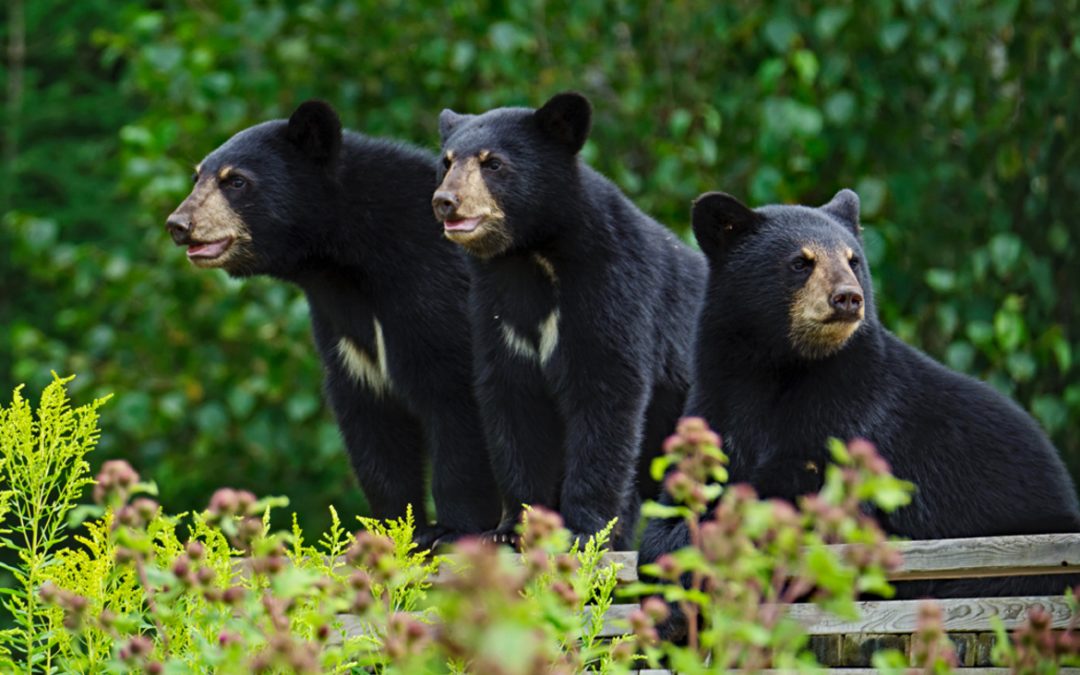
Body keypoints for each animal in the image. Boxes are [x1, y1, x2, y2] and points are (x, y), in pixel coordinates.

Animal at [165, 100, 501, 547]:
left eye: (235, 181)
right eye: (196, 176)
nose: (178, 225)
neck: (343, 262)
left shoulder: (437, 291)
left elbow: (456, 401)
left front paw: (450, 530)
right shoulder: (343, 325)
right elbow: (371, 424)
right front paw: (394, 527)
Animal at [430, 92, 708, 549]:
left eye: (493, 163)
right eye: (446, 162)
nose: (445, 202)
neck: (533, 255)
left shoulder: (614, 289)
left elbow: (606, 394)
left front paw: (582, 530)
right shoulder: (497, 308)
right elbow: (512, 401)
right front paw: (510, 530)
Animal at [641, 188, 1080, 606]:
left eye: (853, 260)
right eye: (801, 262)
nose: (848, 297)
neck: (779, 364)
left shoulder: (854, 410)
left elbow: (800, 489)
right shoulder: (718, 395)